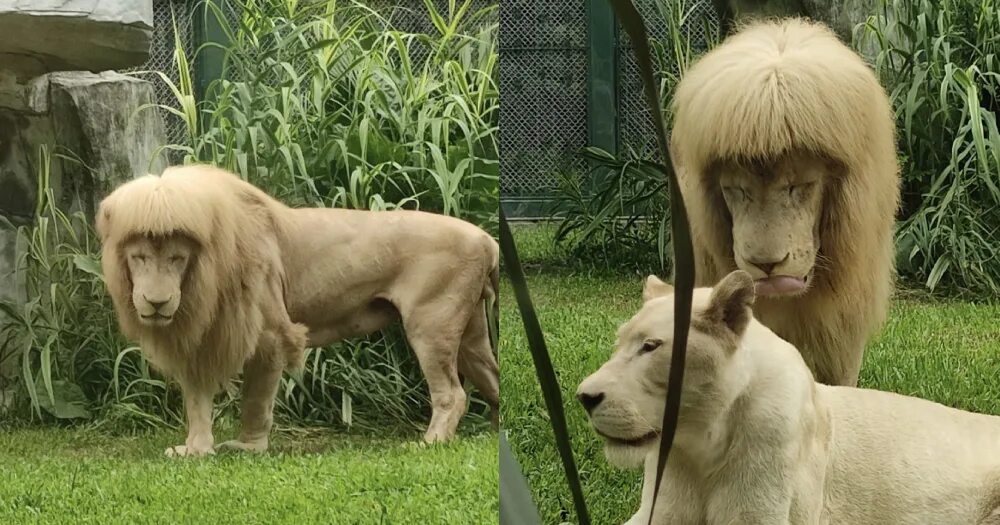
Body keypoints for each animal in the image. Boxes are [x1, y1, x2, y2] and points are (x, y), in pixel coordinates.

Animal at [99, 165, 498, 454]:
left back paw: (430, 442)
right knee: (492, 378)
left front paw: (248, 447)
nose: (156, 302)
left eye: (177, 259)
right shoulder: (199, 339)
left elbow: (256, 399)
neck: (202, 278)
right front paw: (195, 450)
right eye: (139, 258)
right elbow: (197, 402)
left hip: (430, 325)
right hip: (471, 335)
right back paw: (498, 430)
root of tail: (486, 239)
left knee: (453, 394)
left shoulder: (271, 335)